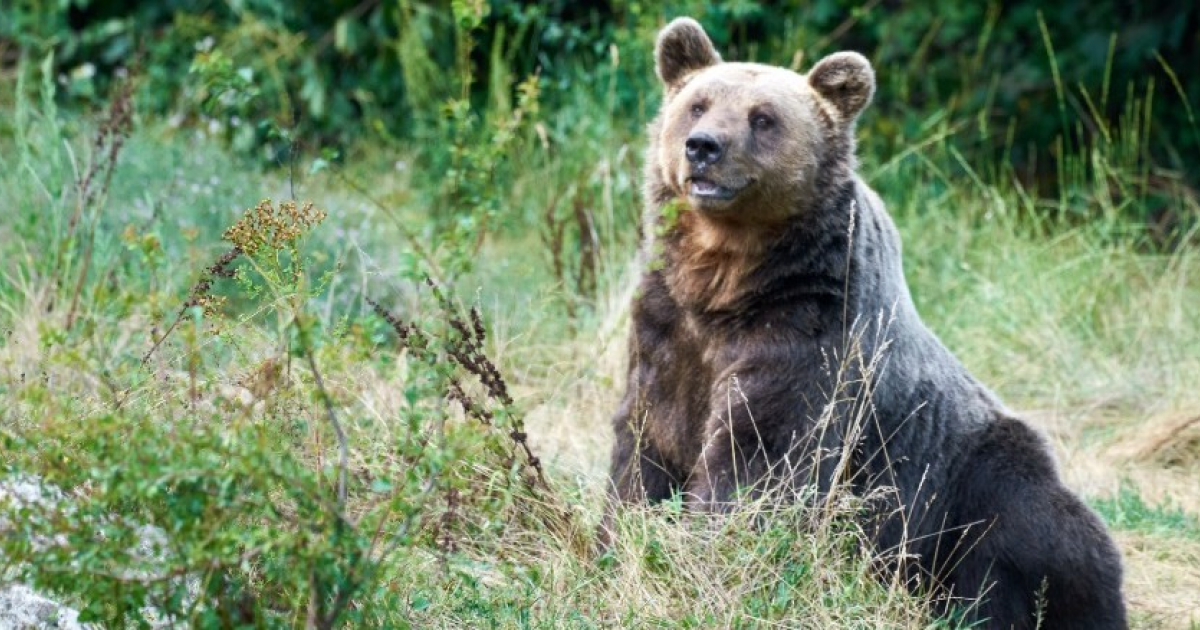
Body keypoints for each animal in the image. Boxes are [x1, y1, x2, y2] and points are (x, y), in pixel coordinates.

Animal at [604, 17, 1128, 624]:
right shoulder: (667, 327)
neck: (727, 280)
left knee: (1047, 535)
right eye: (697, 104)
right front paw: (624, 541)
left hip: (971, 477)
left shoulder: (808, 327)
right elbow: (646, 441)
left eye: (763, 117)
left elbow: (760, 453)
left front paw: (711, 562)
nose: (704, 147)